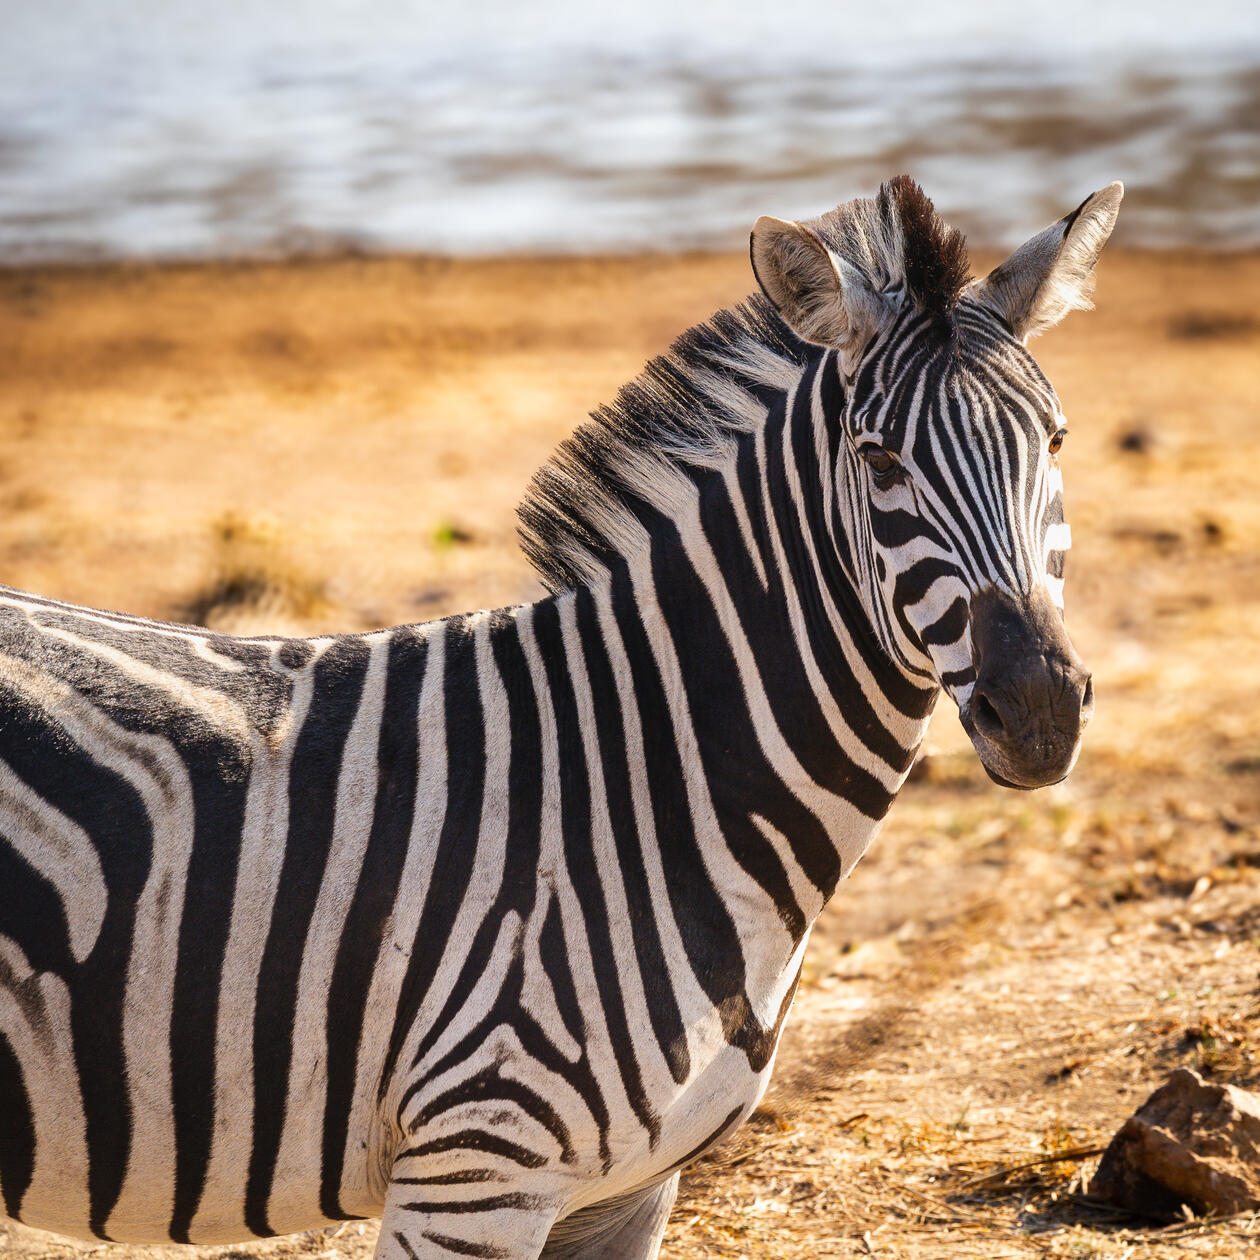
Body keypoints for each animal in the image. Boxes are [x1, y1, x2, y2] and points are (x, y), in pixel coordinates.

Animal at [0, 176, 1119, 1258]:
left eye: (1058, 441)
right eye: (880, 460)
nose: (1039, 711)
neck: (652, 780)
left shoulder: (624, 1194)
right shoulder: (473, 1175)